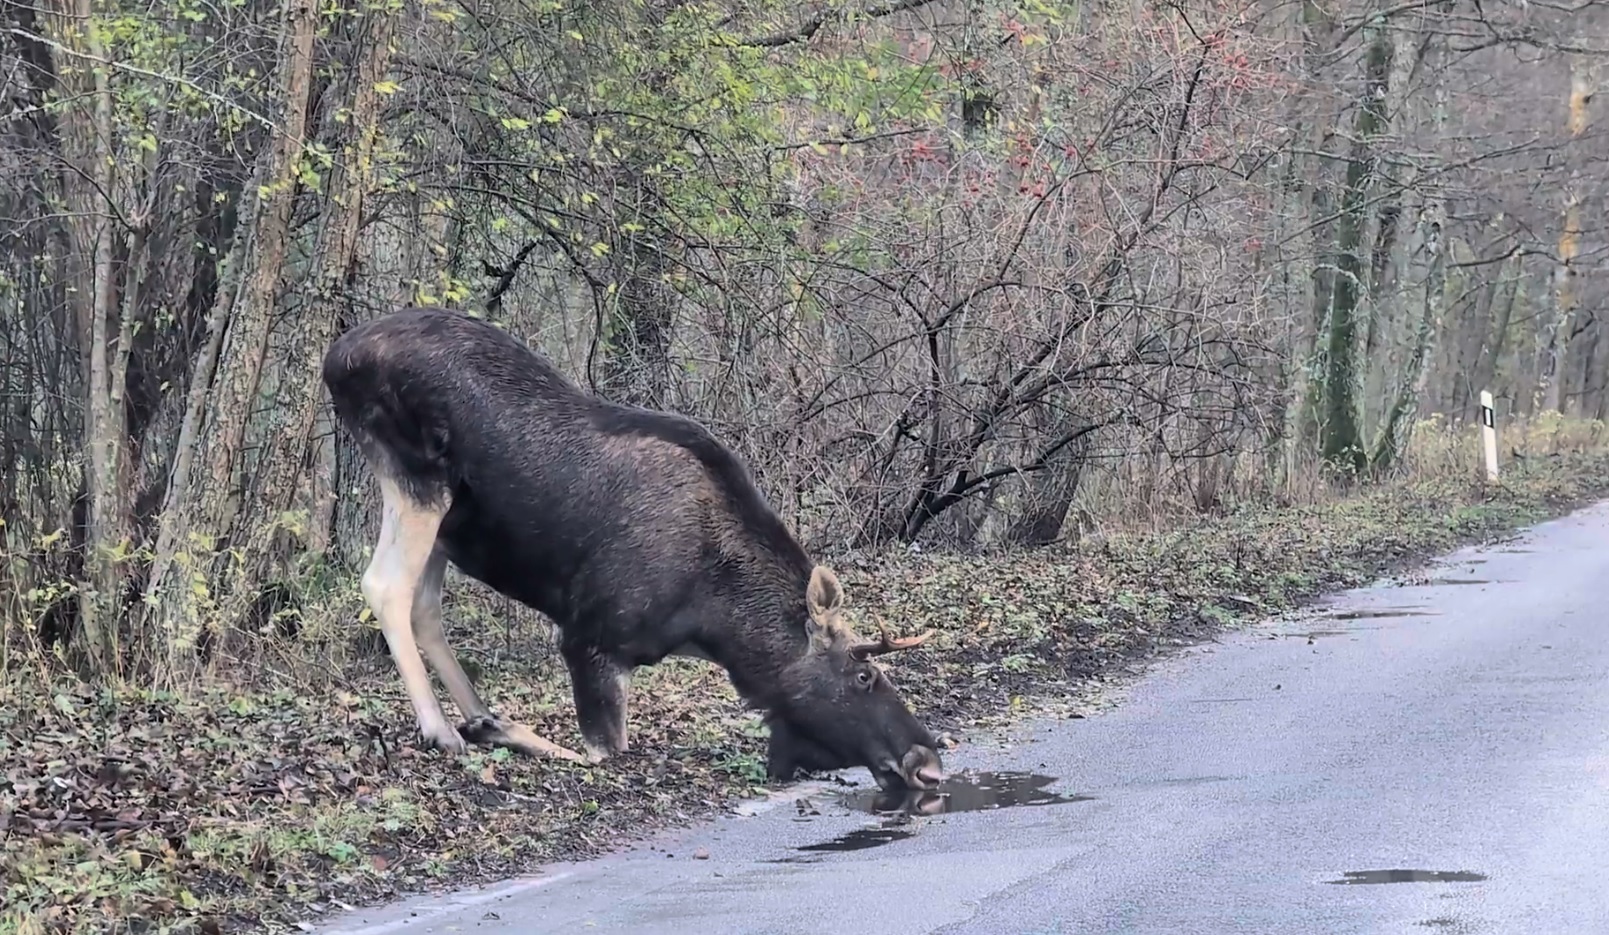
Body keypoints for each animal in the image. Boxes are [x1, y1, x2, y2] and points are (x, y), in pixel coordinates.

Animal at [318, 304, 939, 788]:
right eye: (864, 676)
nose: (926, 762)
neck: (713, 621)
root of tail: (335, 357)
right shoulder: (588, 638)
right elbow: (606, 754)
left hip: (446, 522)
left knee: (425, 607)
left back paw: (478, 714)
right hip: (417, 480)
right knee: (385, 585)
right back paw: (447, 728)